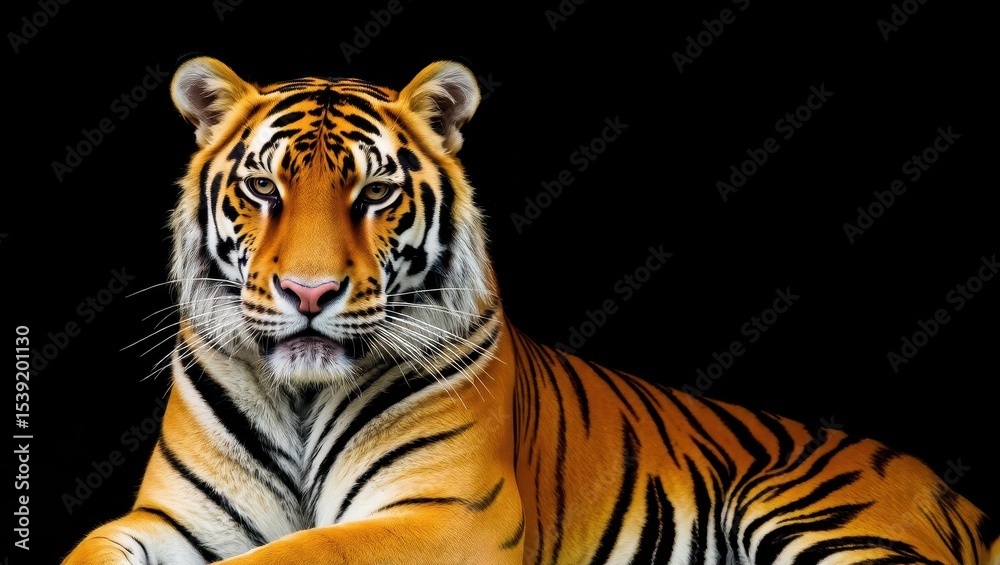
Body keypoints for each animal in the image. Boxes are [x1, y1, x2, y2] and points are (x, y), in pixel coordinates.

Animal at [62, 56, 998, 565]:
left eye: (375, 193)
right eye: (263, 189)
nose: (310, 294)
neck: (299, 397)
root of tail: (953, 491)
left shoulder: (444, 516)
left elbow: (290, 555)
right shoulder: (171, 518)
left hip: (803, 508)